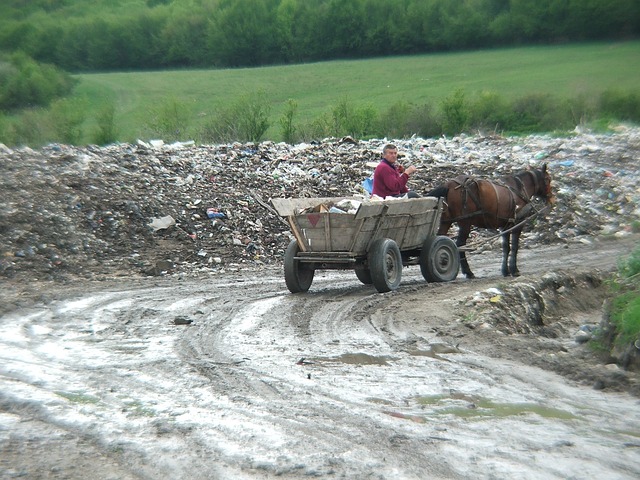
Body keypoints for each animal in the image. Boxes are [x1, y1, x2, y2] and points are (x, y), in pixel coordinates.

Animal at [424, 164, 556, 280]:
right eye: (548, 179)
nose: (552, 199)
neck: (519, 189)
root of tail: (449, 185)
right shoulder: (518, 223)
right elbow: (515, 247)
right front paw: (514, 270)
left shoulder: (505, 225)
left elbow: (506, 247)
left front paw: (505, 271)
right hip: (465, 223)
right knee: (460, 244)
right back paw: (468, 272)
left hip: (446, 221)